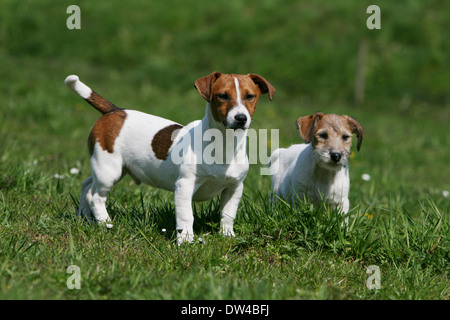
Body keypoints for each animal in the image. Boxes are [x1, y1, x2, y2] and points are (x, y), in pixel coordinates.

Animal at [63, 71, 274, 244]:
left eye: (250, 96)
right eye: (223, 96)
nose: (241, 118)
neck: (223, 144)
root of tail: (115, 110)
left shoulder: (234, 187)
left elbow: (228, 214)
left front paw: (227, 235)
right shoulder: (184, 186)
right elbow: (186, 216)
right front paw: (186, 240)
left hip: (112, 168)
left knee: (87, 185)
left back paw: (85, 217)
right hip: (109, 170)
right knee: (96, 197)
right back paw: (105, 223)